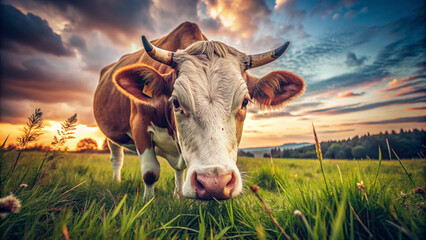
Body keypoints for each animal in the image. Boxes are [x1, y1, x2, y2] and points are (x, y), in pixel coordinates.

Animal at [93, 22, 302, 200]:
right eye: (175, 101)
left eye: (245, 101)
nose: (214, 183)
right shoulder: (139, 126)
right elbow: (150, 172)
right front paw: (147, 202)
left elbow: (178, 169)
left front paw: (178, 196)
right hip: (111, 135)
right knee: (116, 158)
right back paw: (116, 181)